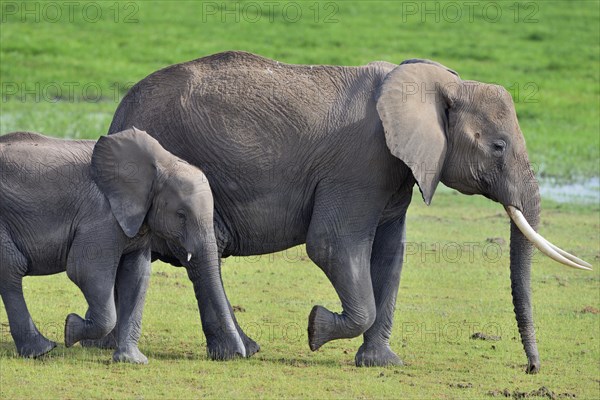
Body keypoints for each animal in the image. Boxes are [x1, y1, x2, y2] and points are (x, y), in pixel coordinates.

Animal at [0, 128, 244, 362]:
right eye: (181, 215)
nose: (239, 354)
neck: (161, 162)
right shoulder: (101, 216)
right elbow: (86, 272)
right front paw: (70, 329)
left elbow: (136, 275)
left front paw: (132, 360)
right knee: (12, 268)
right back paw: (42, 350)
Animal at [108, 50, 592, 372]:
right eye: (498, 147)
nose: (532, 369)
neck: (436, 84)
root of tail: (118, 113)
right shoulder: (362, 161)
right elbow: (332, 246)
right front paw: (315, 329)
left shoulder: (396, 169)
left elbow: (390, 255)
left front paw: (382, 363)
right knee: (204, 251)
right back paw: (236, 352)